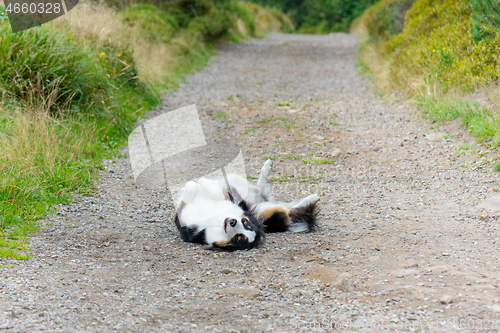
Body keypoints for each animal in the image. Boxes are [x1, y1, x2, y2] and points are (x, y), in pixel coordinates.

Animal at [172, 160, 320, 250]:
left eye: (239, 237)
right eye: (245, 222)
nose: (232, 222)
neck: (213, 220)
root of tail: (259, 203)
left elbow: (203, 189)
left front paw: (203, 183)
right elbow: (194, 186)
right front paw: (202, 183)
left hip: (269, 212)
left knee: (290, 210)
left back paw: (312, 199)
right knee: (262, 189)